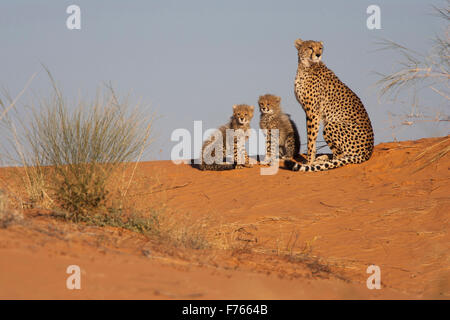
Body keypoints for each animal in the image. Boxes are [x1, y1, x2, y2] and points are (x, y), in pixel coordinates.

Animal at [286, 38, 374, 171]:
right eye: (310, 47)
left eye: (320, 48)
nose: (318, 55)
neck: (305, 66)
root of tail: (369, 151)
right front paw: (312, 160)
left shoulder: (313, 112)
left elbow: (311, 138)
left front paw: (309, 162)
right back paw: (323, 159)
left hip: (330, 125)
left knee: (340, 155)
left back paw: (321, 162)